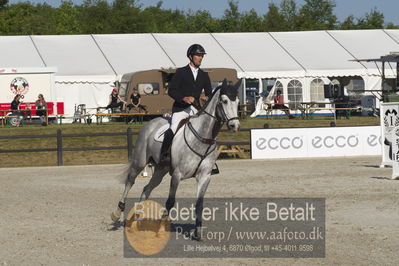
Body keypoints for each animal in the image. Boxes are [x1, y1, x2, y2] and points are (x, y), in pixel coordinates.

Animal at [111, 79, 241, 239]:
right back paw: (118, 213)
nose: (235, 125)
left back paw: (137, 218)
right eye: (224, 101)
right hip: (139, 163)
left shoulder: (204, 176)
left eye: (238, 102)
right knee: (130, 181)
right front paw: (161, 229)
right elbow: (170, 202)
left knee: (147, 188)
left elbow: (199, 204)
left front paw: (197, 232)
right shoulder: (177, 175)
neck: (203, 137)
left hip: (160, 170)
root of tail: (151, 122)